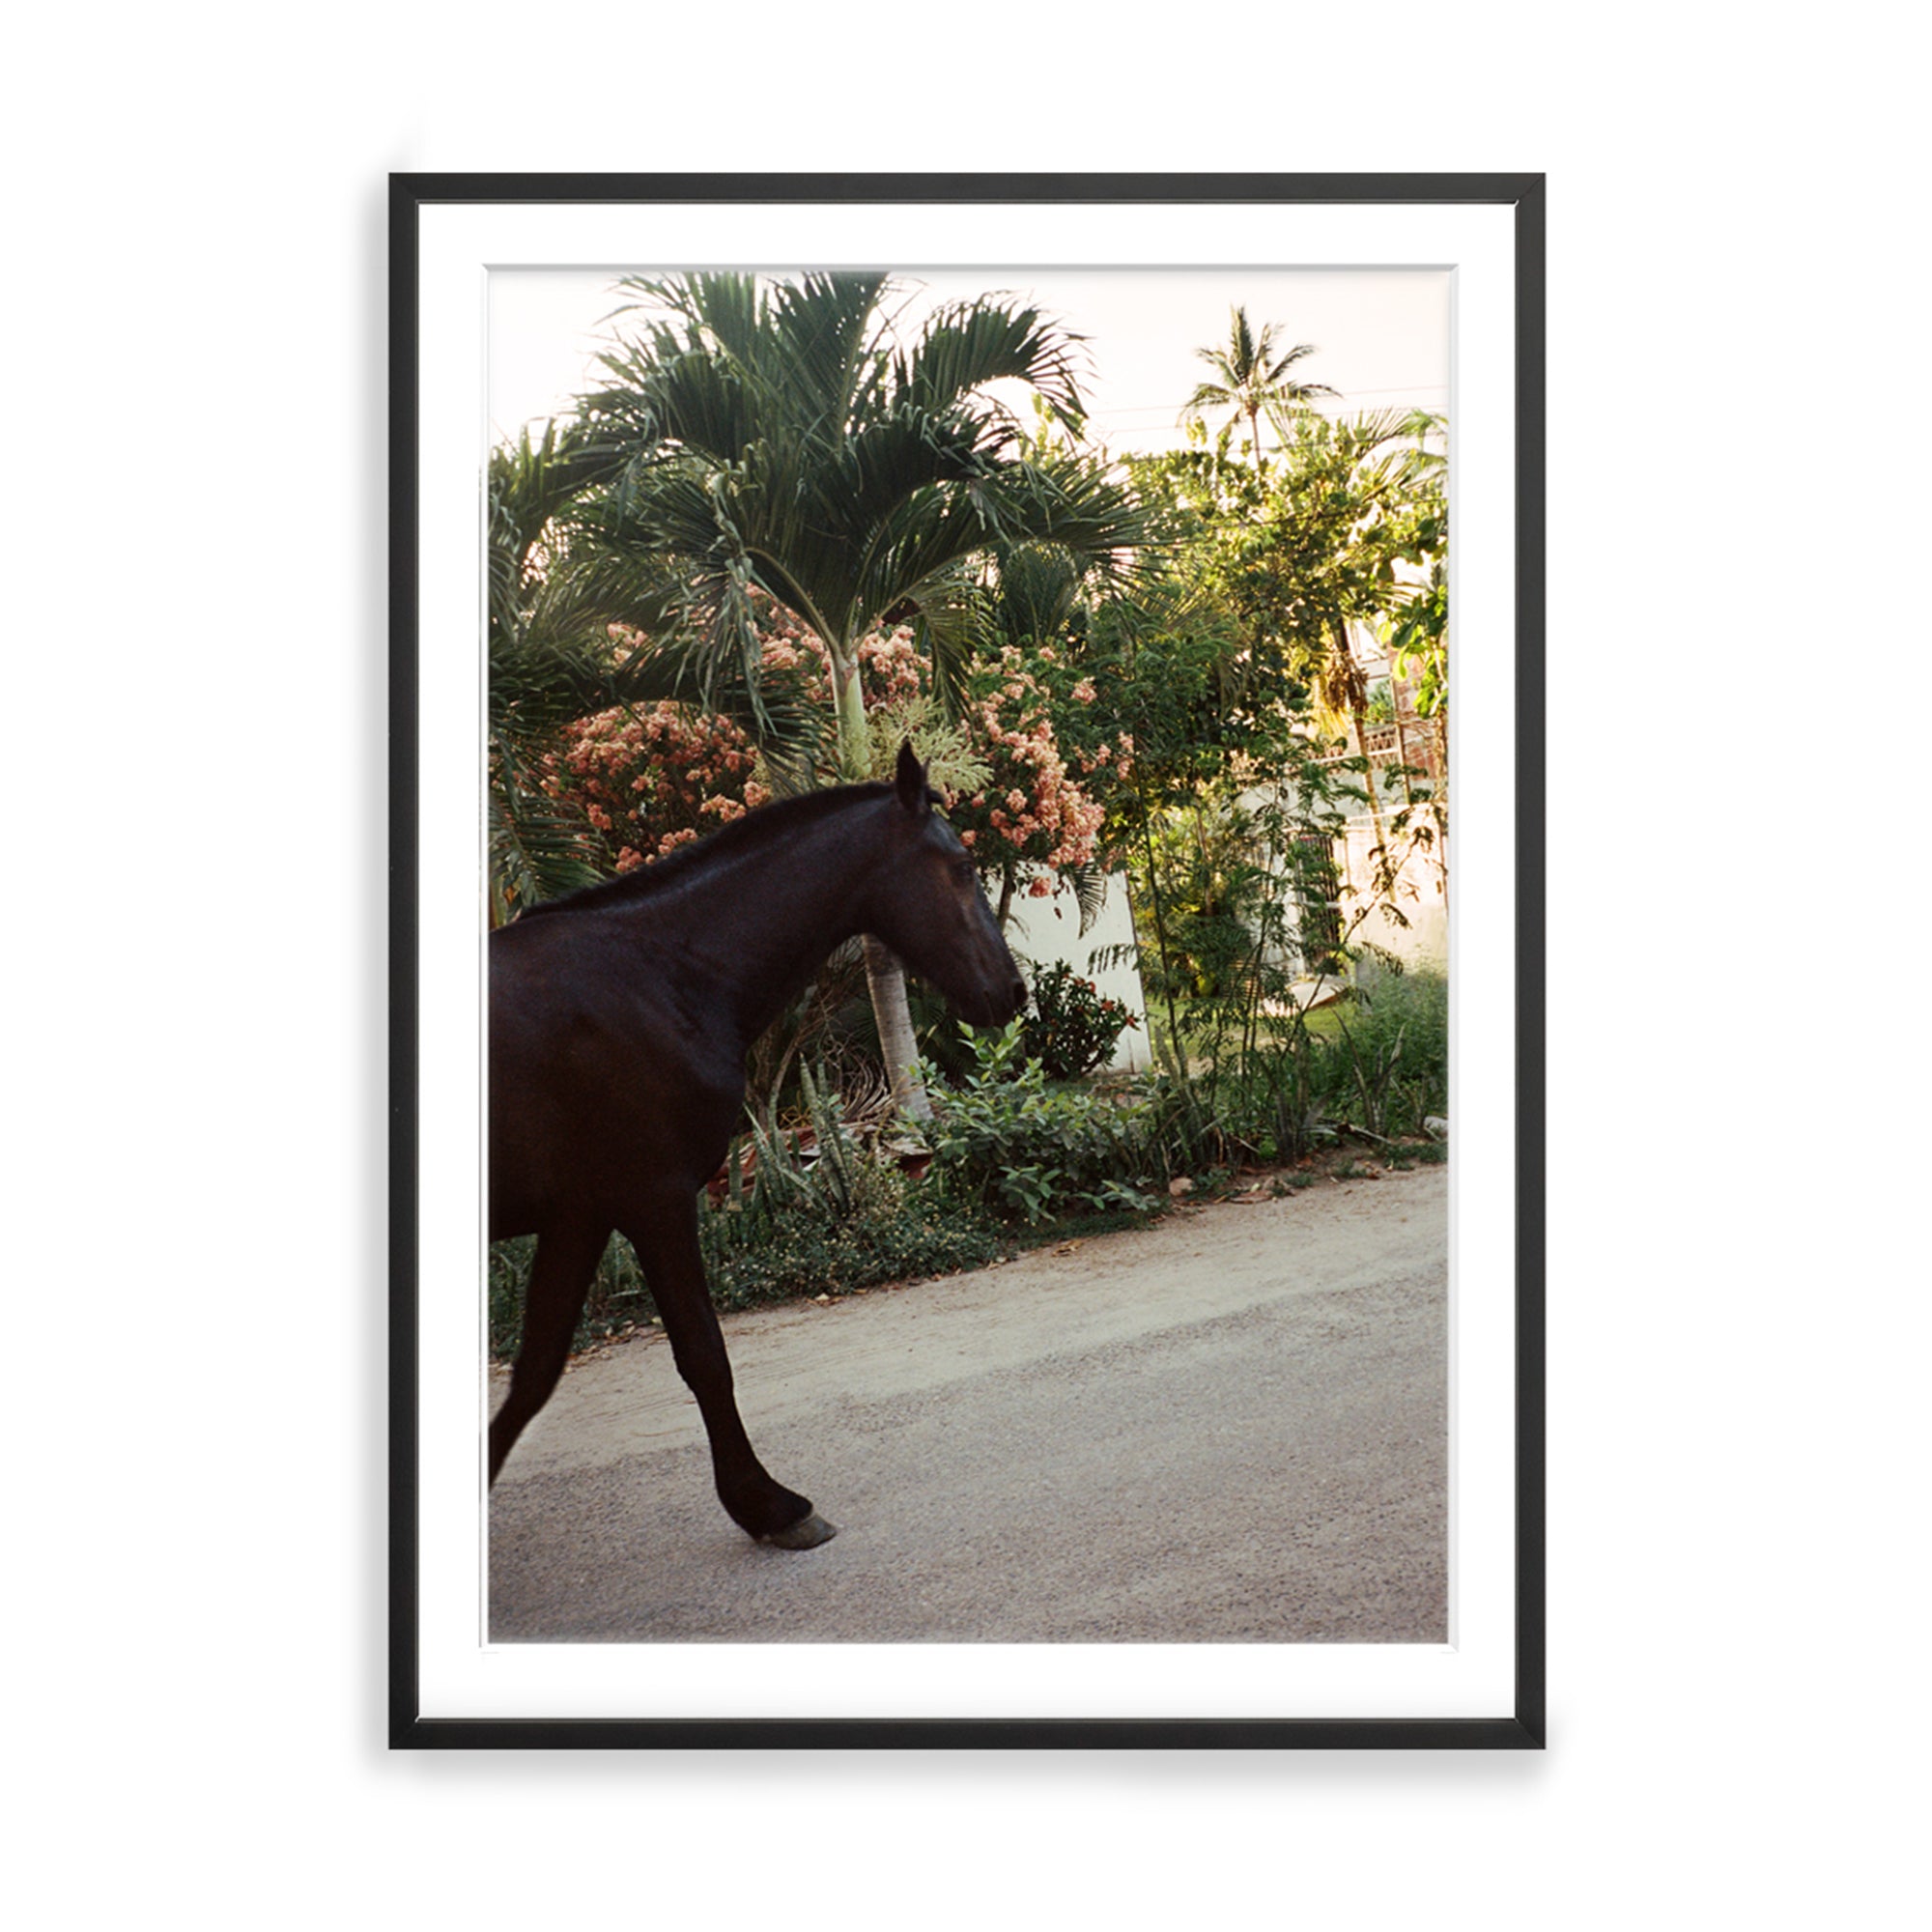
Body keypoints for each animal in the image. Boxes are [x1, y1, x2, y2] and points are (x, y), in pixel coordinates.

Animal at [487, 741, 1027, 1549]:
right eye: (961, 866)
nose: (1014, 993)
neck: (661, 973)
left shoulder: (580, 1214)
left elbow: (535, 1374)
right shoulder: (653, 1200)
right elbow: (704, 1356)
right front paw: (767, 1504)